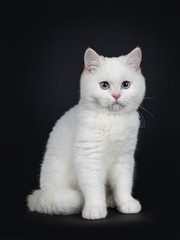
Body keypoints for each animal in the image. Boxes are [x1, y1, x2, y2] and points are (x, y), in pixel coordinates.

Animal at [27, 47, 146, 219]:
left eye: (125, 85)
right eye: (104, 85)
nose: (116, 95)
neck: (112, 119)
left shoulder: (124, 159)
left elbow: (124, 184)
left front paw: (126, 203)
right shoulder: (89, 158)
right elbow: (94, 187)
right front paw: (95, 208)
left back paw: (111, 200)